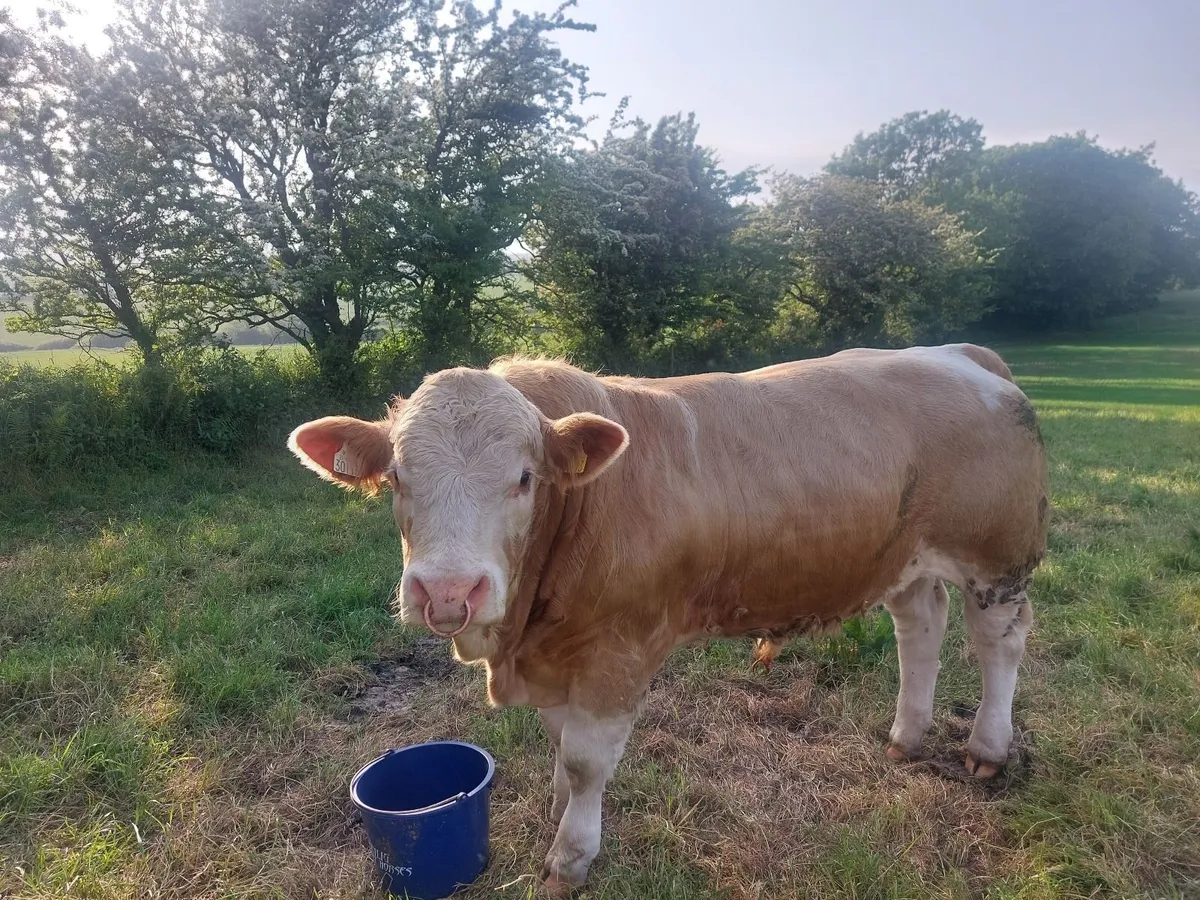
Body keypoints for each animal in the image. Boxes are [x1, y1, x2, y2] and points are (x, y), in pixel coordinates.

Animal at [288, 343, 1049, 893]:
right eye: (396, 478)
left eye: (524, 479)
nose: (448, 591)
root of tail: (962, 354)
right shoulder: (561, 653)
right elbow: (560, 747)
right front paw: (557, 812)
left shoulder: (617, 652)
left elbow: (587, 761)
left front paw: (570, 857)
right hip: (902, 558)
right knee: (921, 625)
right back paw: (905, 736)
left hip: (997, 558)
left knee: (1000, 643)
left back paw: (987, 748)